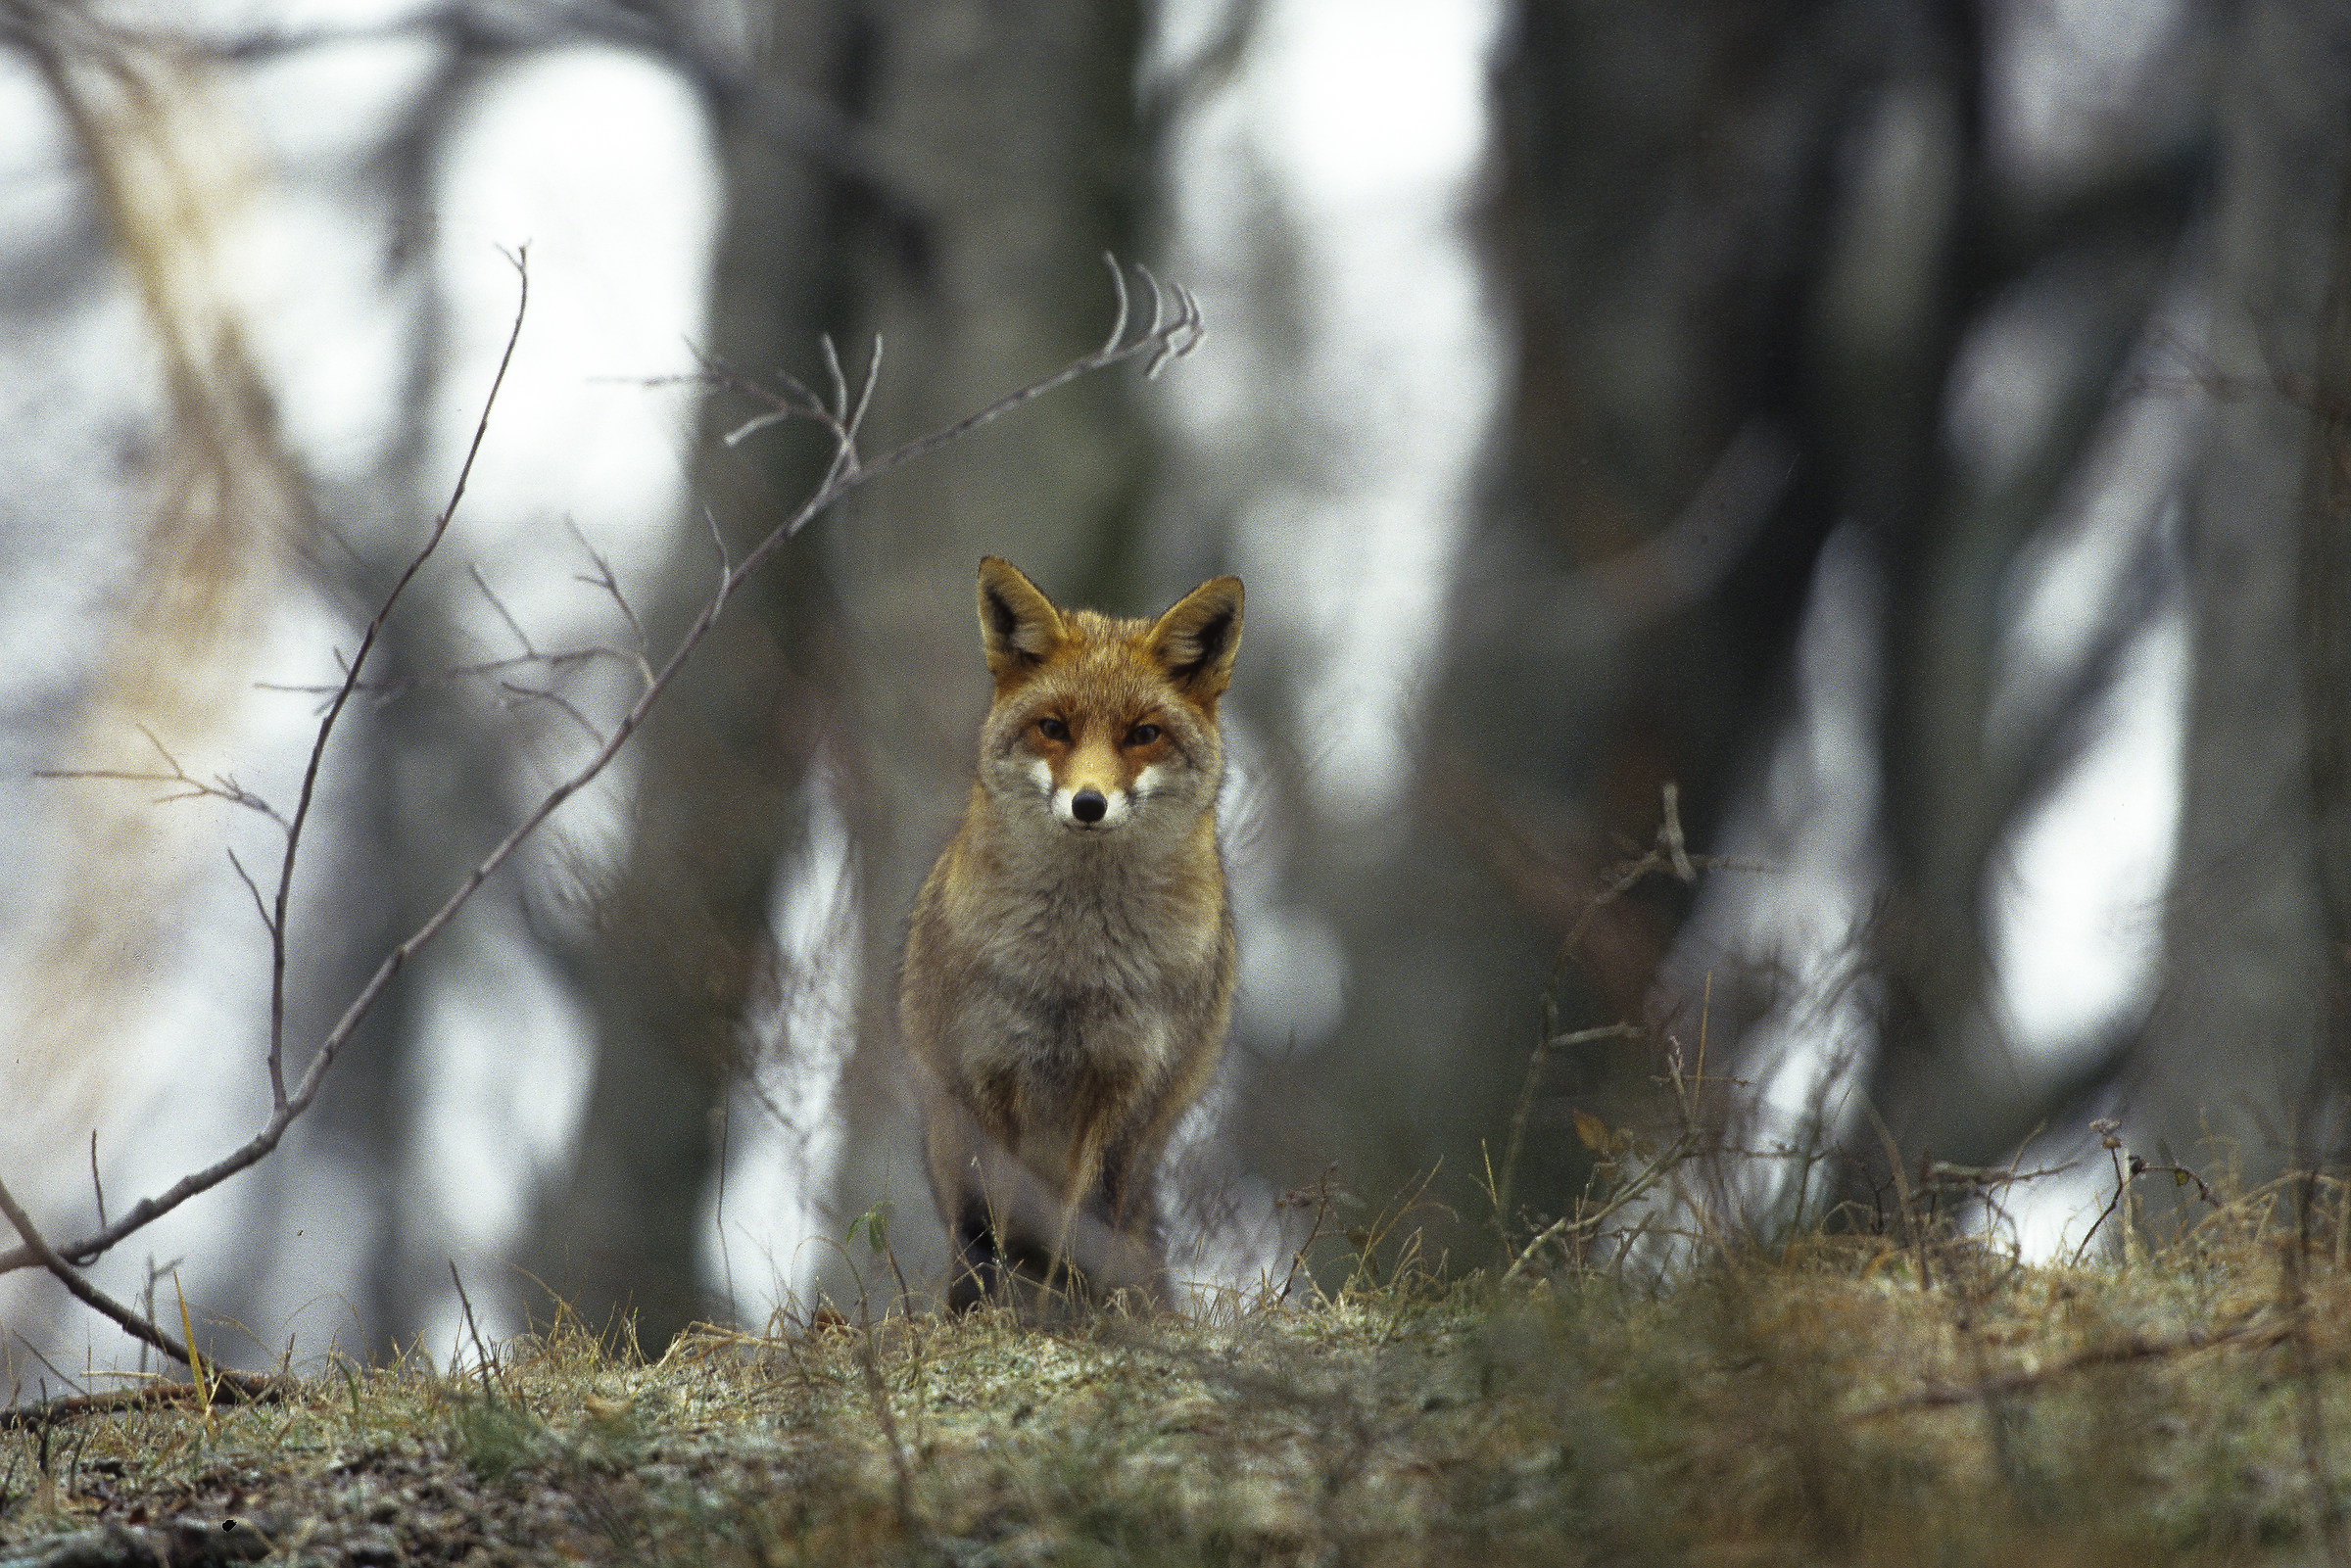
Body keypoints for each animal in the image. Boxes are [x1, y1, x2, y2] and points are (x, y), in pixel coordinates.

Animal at [901, 555, 1243, 1312]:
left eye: (1142, 734)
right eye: (1053, 727)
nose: (1089, 803)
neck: (1073, 967)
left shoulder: (1124, 1086)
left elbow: (1080, 1225)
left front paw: (1066, 1316)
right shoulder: (986, 1069)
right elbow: (987, 1226)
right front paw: (982, 1318)